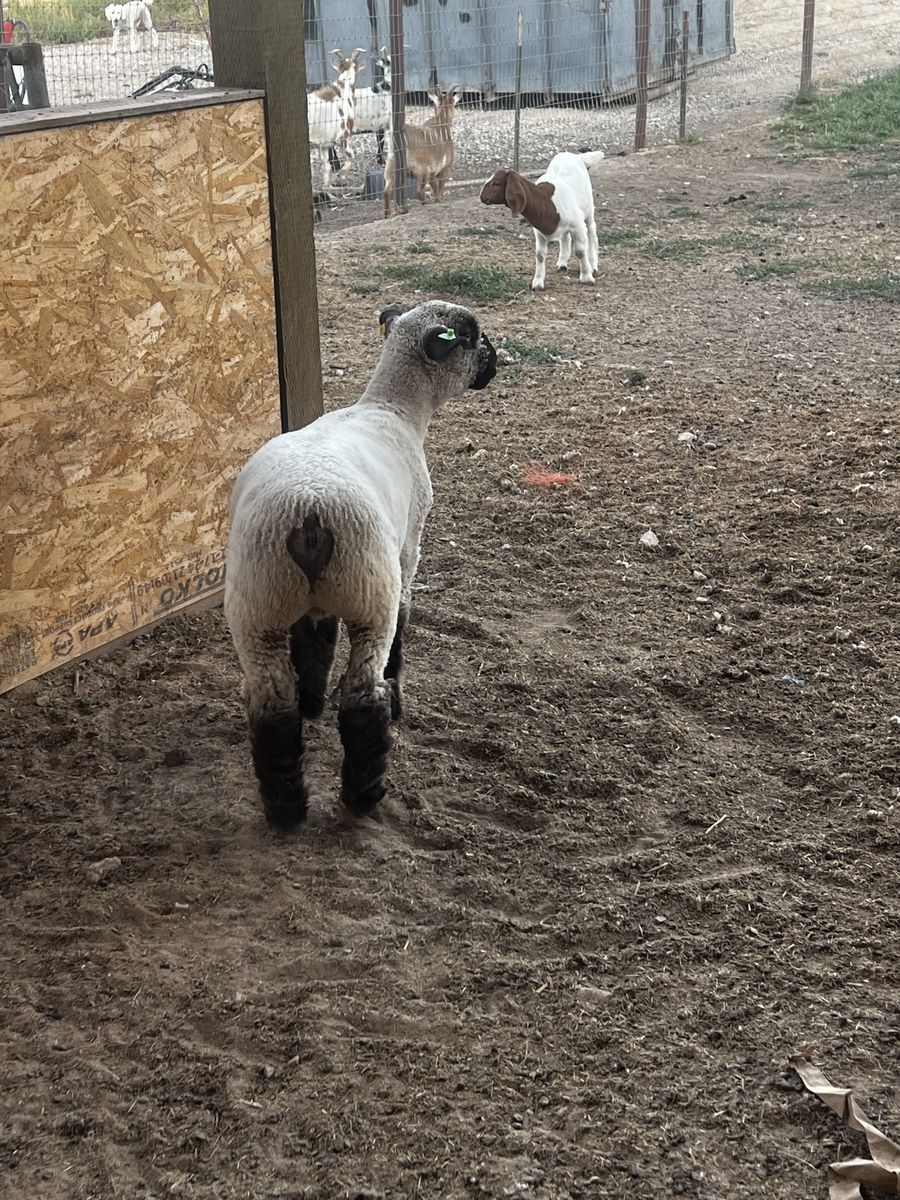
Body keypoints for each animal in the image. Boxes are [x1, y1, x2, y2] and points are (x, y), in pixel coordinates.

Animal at [225, 299, 497, 829]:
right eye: (474, 338)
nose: (496, 363)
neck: (391, 410)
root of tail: (309, 512)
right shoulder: (408, 551)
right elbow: (404, 628)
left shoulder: (313, 604)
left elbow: (315, 641)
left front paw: (313, 702)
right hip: (371, 590)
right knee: (362, 695)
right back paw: (365, 792)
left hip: (259, 602)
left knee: (272, 709)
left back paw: (286, 808)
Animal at [308, 48, 365, 192]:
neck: (342, 93)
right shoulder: (343, 136)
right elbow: (352, 156)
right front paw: (341, 175)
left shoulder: (323, 144)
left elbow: (327, 166)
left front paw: (327, 187)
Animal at [383, 88, 460, 218]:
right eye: (453, 104)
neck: (441, 122)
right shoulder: (445, 168)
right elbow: (439, 189)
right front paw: (438, 201)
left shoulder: (433, 173)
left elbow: (435, 188)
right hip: (421, 170)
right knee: (419, 191)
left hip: (391, 168)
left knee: (387, 191)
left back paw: (389, 214)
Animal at [480, 150, 605, 291]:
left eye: (496, 183)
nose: (482, 196)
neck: (548, 204)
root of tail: (571, 154)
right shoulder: (539, 232)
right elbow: (540, 255)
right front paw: (538, 283)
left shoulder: (577, 226)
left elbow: (580, 251)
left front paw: (587, 277)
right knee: (565, 238)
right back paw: (562, 263)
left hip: (589, 210)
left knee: (592, 232)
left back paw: (593, 265)